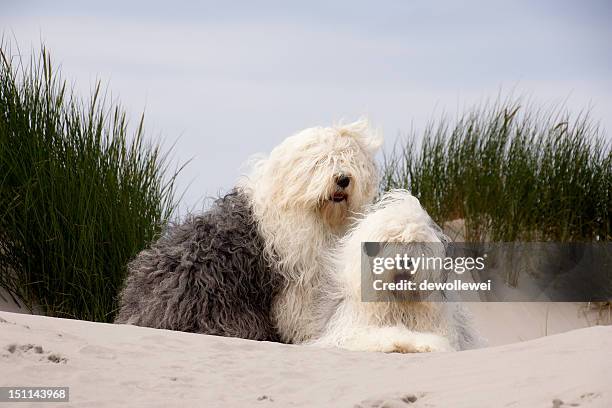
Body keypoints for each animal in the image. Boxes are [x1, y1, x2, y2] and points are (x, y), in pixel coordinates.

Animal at [310, 190, 482, 352]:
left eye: (418, 242)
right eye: (390, 241)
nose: (405, 261)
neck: (401, 305)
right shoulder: (350, 330)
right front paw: (400, 341)